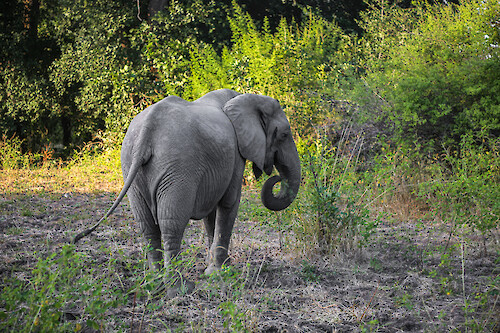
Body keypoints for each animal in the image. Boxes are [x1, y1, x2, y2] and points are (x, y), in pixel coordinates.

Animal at [73, 87, 300, 294]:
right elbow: (228, 204)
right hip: (178, 167)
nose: (276, 177)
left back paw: (155, 284)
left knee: (147, 225)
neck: (245, 98)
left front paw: (213, 270)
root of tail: (147, 130)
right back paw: (179, 288)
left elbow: (211, 214)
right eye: (284, 134)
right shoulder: (235, 155)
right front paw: (220, 273)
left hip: (130, 165)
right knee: (171, 223)